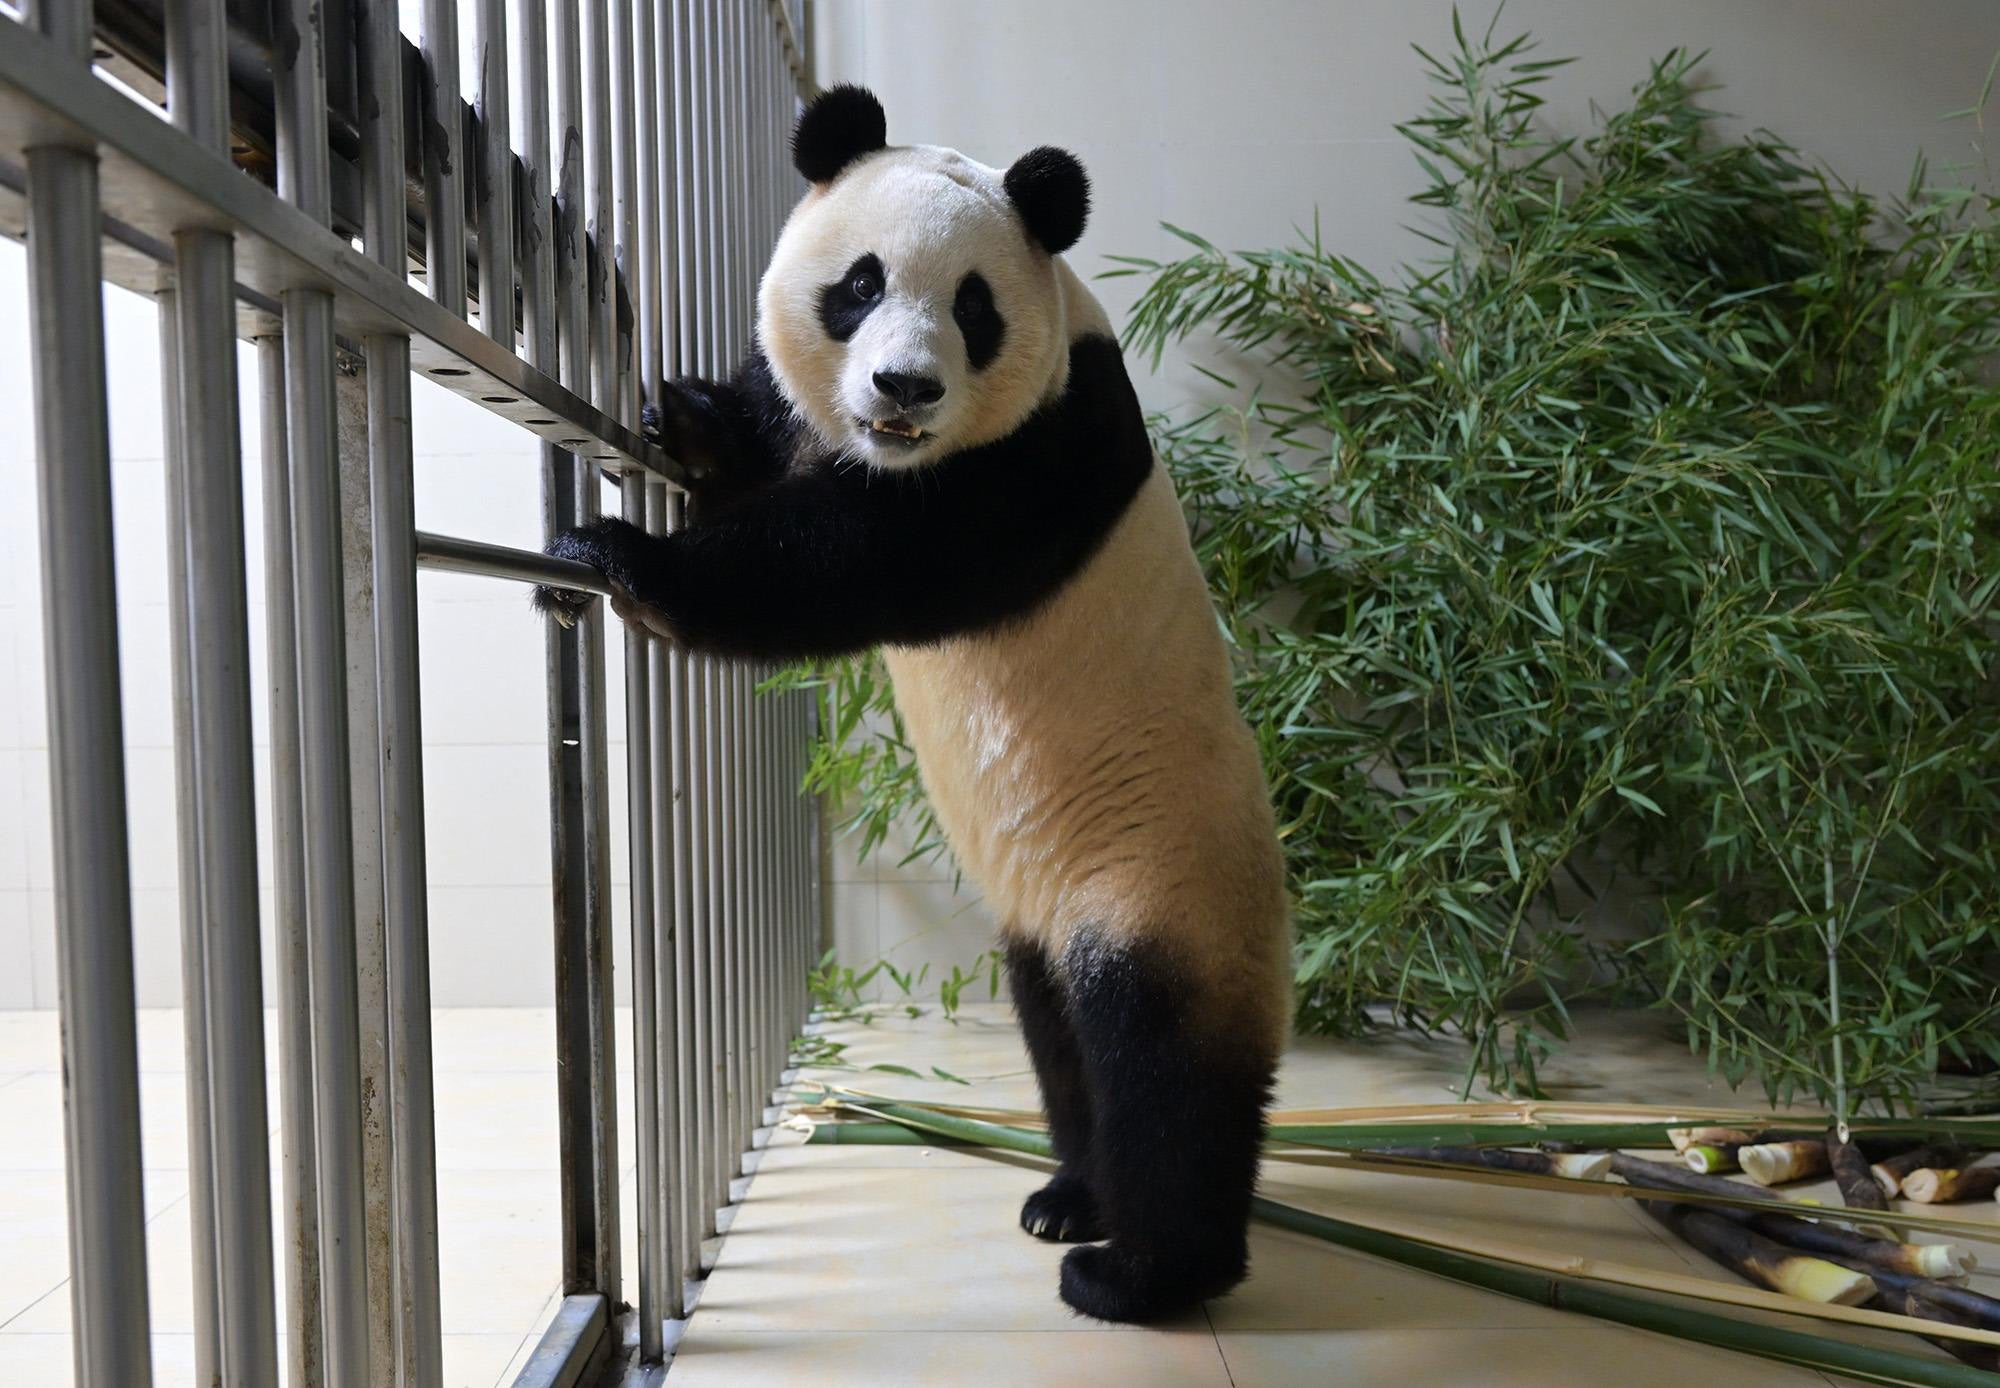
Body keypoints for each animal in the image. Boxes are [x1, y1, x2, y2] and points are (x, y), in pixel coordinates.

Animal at [537, 84, 1291, 1324]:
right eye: (860, 283)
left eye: (972, 308)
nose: (905, 388)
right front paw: (693, 414)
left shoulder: (1046, 452)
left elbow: (855, 560)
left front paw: (617, 556)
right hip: (1050, 912)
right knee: (1060, 1040)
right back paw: (1066, 1197)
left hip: (1163, 874)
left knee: (1160, 1070)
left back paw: (1136, 1270)